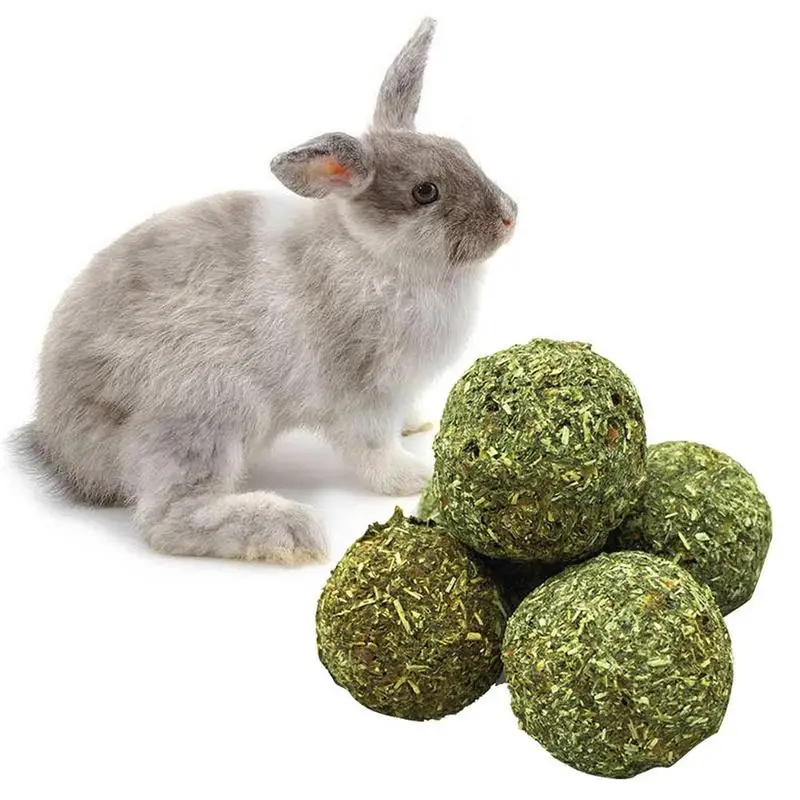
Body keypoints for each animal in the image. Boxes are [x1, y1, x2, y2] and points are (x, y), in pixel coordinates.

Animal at [16, 17, 517, 564]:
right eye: (425, 192)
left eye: (460, 150)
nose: (509, 218)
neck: (371, 253)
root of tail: (60, 448)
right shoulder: (364, 391)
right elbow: (372, 449)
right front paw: (414, 475)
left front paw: (417, 426)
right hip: (206, 409)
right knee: (168, 520)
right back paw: (289, 531)